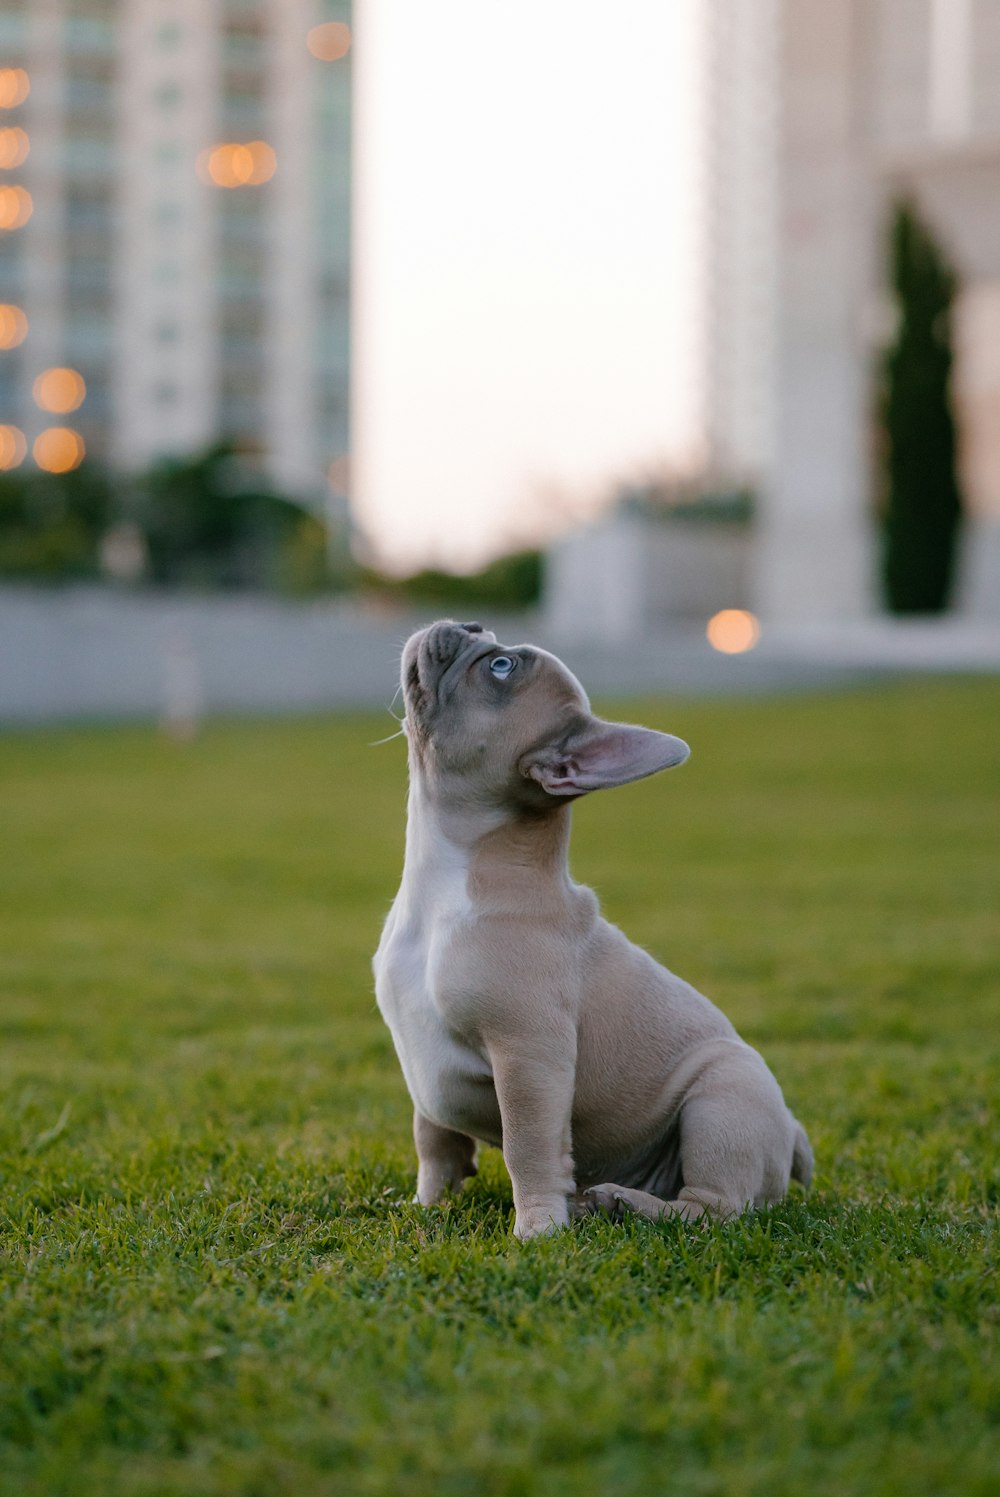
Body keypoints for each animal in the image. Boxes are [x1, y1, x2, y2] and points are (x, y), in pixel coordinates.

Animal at [371, 619, 808, 1239]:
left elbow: (527, 1147)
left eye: (500, 667)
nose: (470, 624)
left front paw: (537, 1228)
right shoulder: (424, 1065)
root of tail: (793, 1134)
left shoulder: (529, 1057)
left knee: (713, 1208)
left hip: (723, 1099)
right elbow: (434, 1143)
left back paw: (621, 1203)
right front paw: (426, 1206)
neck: (442, 887)